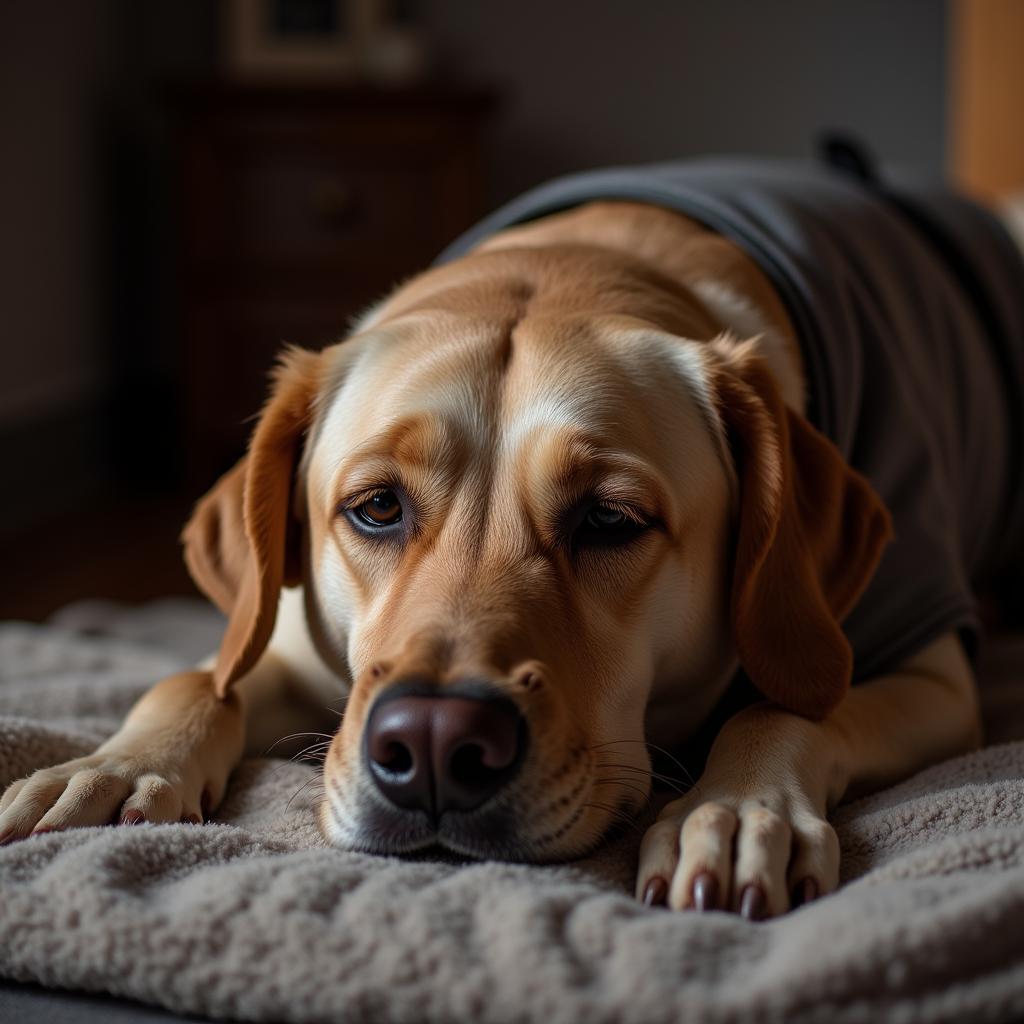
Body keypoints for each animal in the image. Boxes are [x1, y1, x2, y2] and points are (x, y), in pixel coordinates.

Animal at [2, 149, 1024, 921]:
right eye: (376, 507)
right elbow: (195, 678)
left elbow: (784, 706)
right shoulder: (291, 645)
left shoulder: (931, 675)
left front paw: (734, 811)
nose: (433, 745)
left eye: (610, 520)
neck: (591, 258)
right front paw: (115, 766)